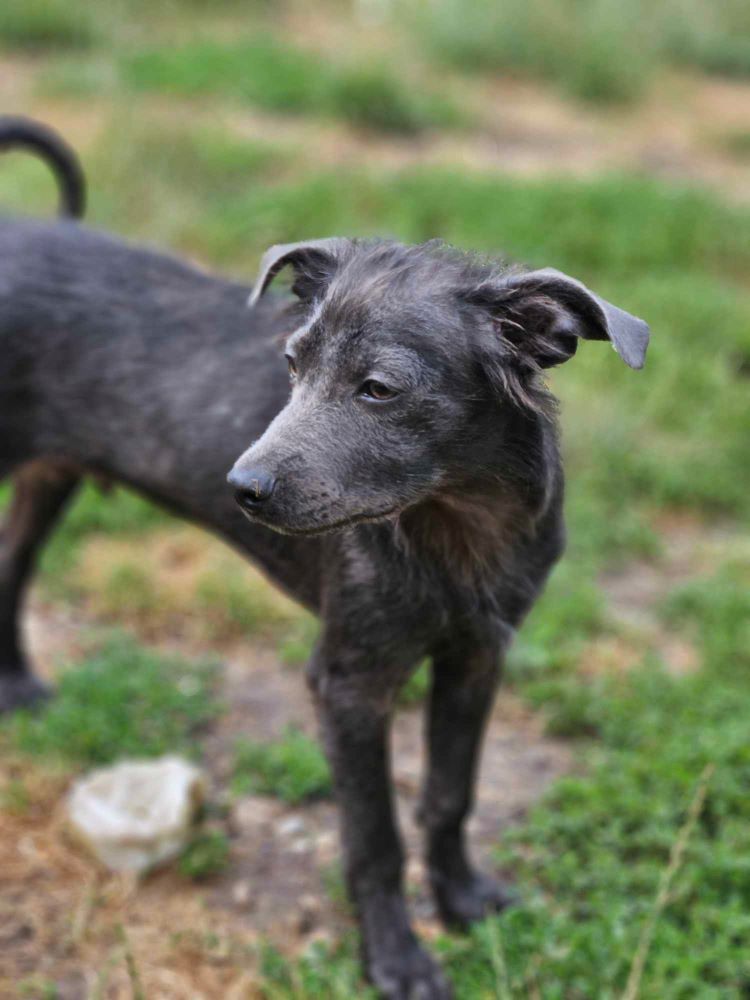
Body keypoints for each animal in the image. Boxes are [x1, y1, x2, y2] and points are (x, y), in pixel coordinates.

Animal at [0, 115, 648, 992]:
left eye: (378, 389)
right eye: (291, 364)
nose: (240, 488)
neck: (455, 520)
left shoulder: (480, 654)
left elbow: (449, 795)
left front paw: (462, 900)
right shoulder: (348, 683)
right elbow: (374, 838)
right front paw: (395, 959)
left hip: (50, 473)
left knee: (11, 564)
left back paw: (16, 684)